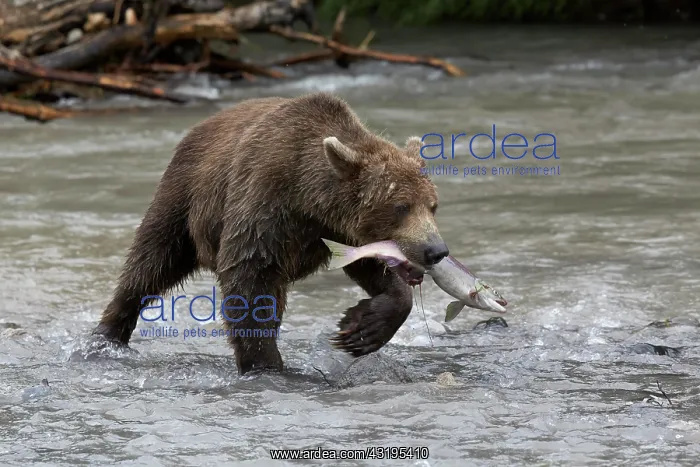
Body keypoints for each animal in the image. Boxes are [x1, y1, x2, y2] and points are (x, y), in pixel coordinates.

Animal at [91, 92, 449, 375]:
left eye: (432, 205)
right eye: (401, 206)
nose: (436, 250)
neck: (310, 199)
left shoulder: (341, 232)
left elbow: (370, 266)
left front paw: (360, 329)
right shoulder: (266, 202)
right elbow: (250, 279)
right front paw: (267, 365)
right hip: (185, 196)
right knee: (152, 261)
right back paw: (106, 336)